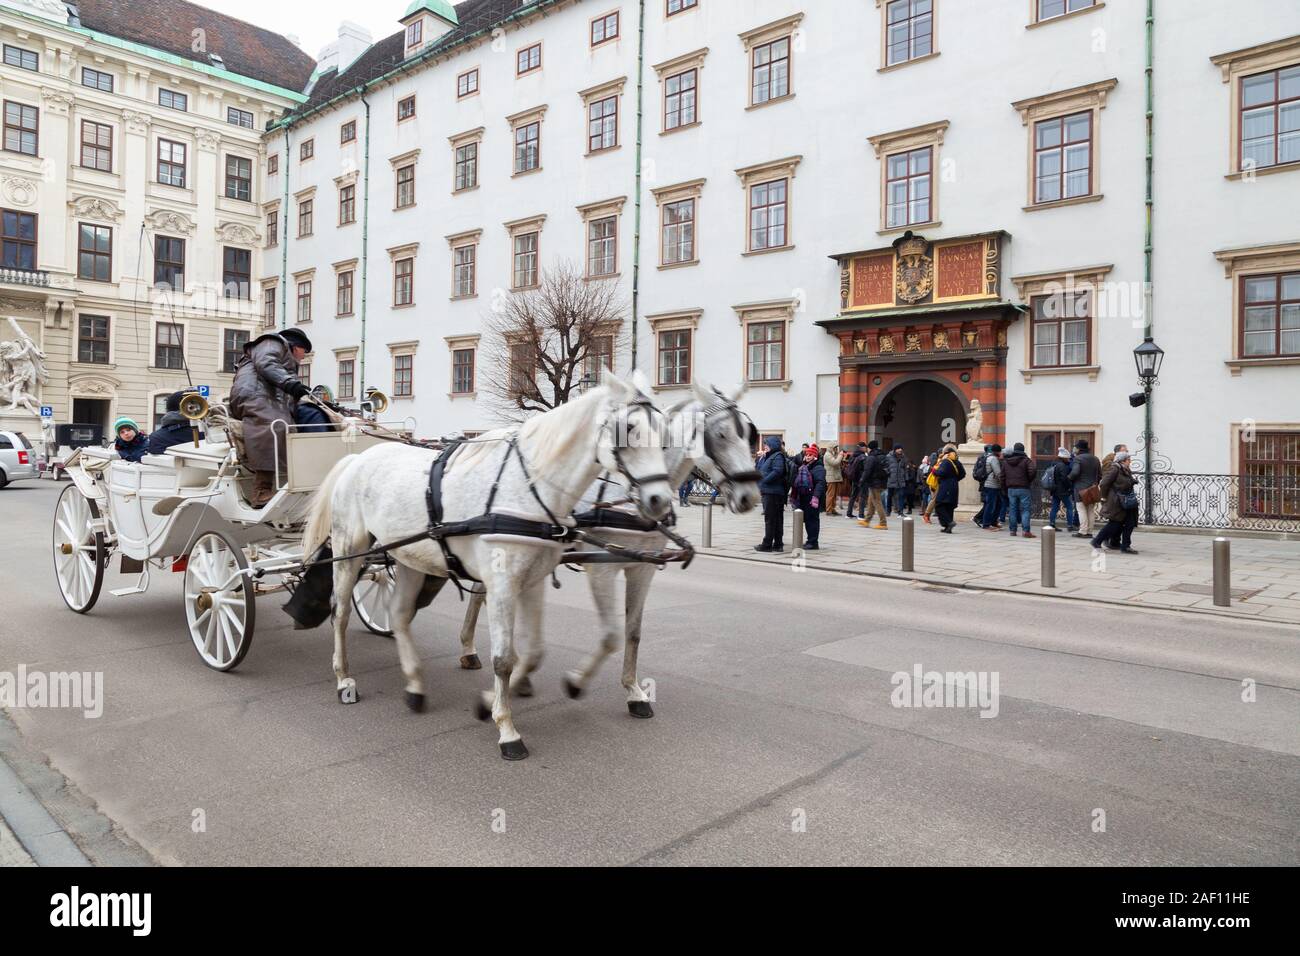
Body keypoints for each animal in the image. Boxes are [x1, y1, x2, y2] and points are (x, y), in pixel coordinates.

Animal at [301, 374, 670, 764]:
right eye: (628, 429)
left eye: (664, 430)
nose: (660, 501)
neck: (528, 487)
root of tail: (356, 457)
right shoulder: (504, 583)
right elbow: (503, 659)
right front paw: (506, 729)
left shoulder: (533, 581)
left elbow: (534, 652)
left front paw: (490, 700)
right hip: (349, 550)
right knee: (341, 613)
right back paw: (344, 678)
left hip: (408, 557)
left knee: (399, 615)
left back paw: (415, 685)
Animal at [460, 382, 759, 717]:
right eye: (721, 435)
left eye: (750, 434)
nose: (750, 497)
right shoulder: (602, 568)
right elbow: (610, 636)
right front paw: (576, 683)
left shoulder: (642, 567)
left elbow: (633, 632)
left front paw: (635, 692)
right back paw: (474, 651)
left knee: (483, 591)